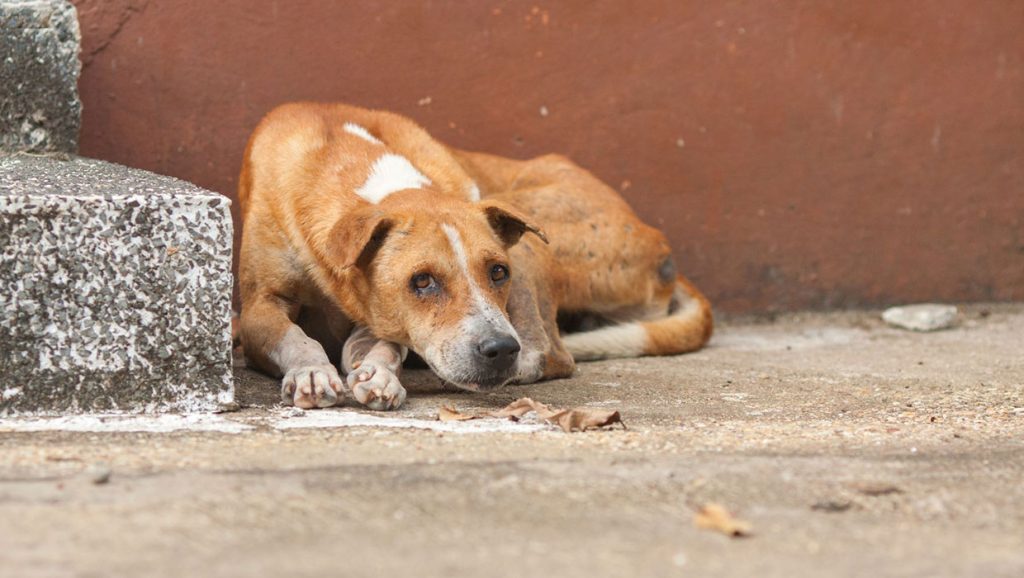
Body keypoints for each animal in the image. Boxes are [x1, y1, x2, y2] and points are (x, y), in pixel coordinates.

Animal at [236, 102, 712, 409]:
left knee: (552, 354)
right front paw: (312, 371)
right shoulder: (260, 306)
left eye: (498, 272)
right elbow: (294, 336)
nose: (500, 349)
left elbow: (387, 348)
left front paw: (382, 375)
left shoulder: (381, 319)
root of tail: (657, 241)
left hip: (533, 233)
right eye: (421, 281)